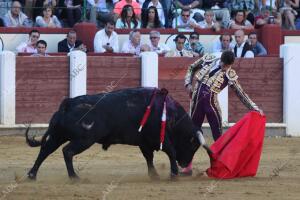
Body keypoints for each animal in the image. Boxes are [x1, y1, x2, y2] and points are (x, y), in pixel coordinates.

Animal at [25, 87, 209, 180]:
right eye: (193, 145)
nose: (185, 164)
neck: (168, 113)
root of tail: (68, 103)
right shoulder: (158, 138)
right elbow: (170, 152)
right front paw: (173, 174)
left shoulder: (145, 142)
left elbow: (149, 157)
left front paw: (154, 174)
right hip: (84, 139)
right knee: (67, 151)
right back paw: (74, 177)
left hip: (58, 135)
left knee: (45, 150)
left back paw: (32, 175)